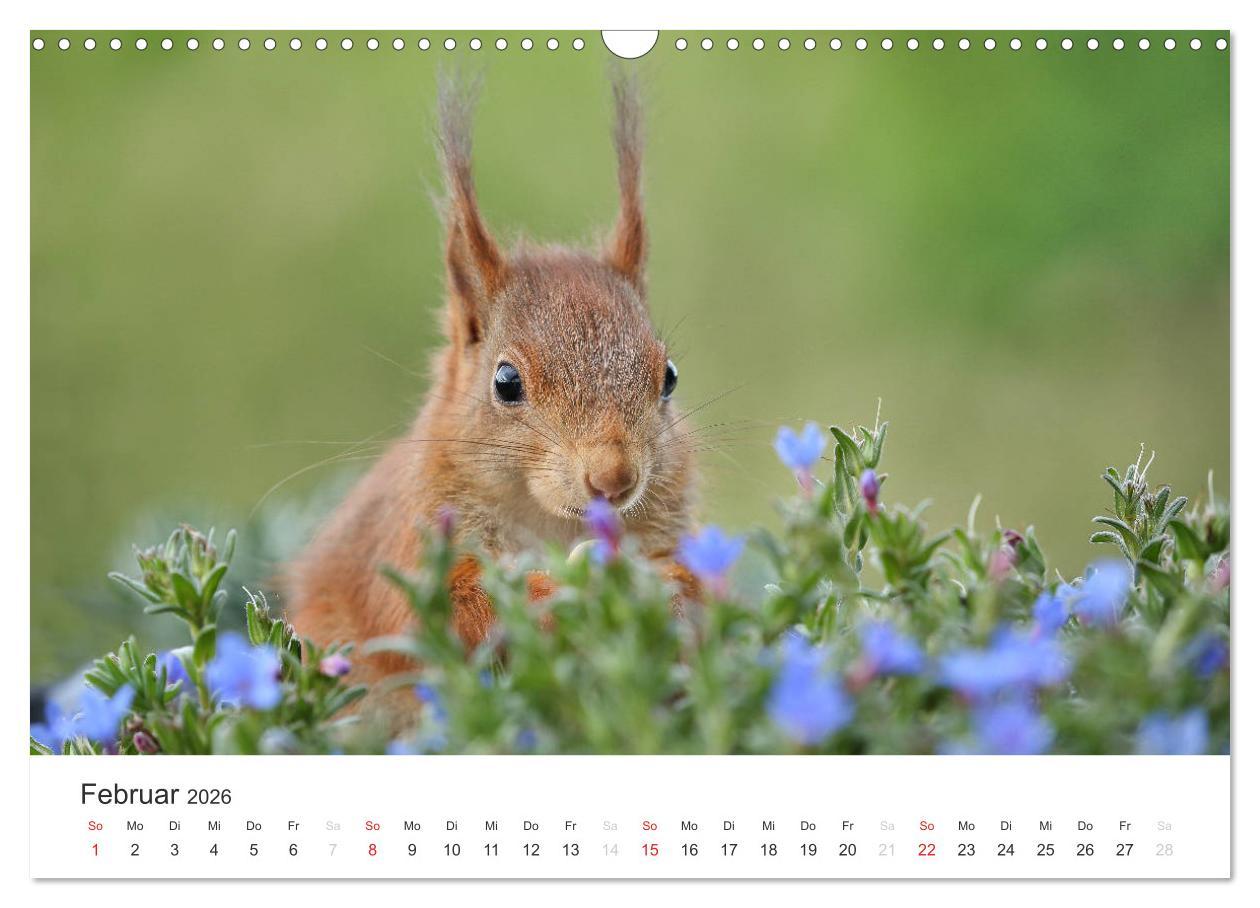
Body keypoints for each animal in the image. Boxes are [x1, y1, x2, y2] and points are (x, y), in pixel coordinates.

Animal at [284, 75, 699, 711]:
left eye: (669, 376)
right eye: (506, 382)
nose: (614, 478)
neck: (549, 521)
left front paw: (669, 591)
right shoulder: (410, 545)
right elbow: (456, 612)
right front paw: (557, 596)